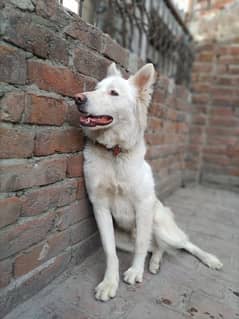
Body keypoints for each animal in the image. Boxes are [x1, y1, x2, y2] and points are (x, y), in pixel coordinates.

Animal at [74, 62, 223, 302]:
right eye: (96, 89)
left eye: (113, 93)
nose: (78, 98)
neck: (115, 153)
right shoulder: (100, 206)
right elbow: (110, 251)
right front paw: (110, 282)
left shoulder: (143, 206)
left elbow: (142, 245)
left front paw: (135, 272)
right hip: (124, 238)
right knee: (158, 248)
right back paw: (154, 263)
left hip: (161, 224)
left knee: (182, 243)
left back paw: (209, 259)